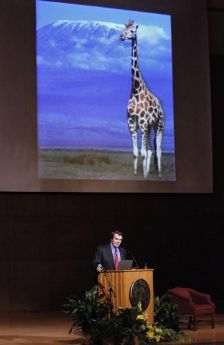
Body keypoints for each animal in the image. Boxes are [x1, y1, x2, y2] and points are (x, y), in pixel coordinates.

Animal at [120, 20, 164, 177]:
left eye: (133, 31)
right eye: (124, 29)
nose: (121, 36)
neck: (136, 90)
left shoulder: (143, 123)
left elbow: (143, 152)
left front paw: (143, 174)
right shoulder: (132, 123)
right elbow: (136, 152)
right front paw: (136, 173)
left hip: (159, 125)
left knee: (158, 149)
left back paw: (159, 173)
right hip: (149, 127)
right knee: (150, 150)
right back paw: (148, 172)